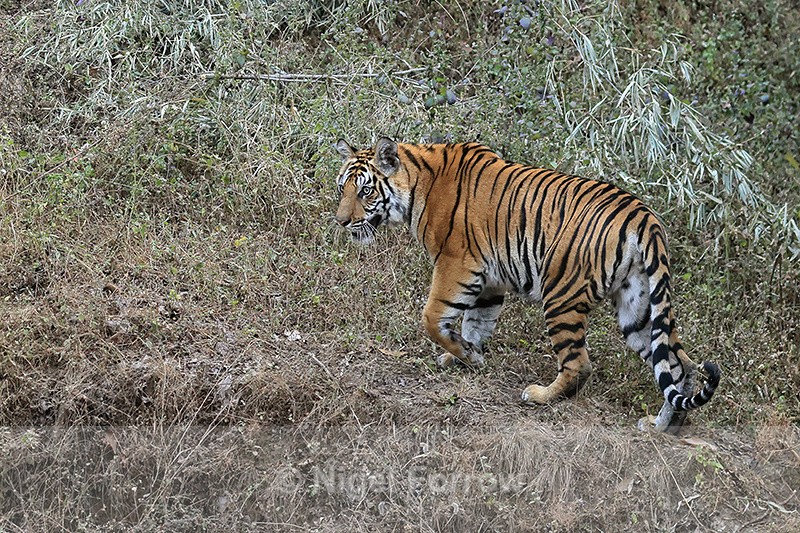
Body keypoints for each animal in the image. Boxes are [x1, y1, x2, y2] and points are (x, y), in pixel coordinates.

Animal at [333, 137, 721, 432]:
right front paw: (467, 356)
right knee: (678, 364)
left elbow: (432, 318)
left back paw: (539, 396)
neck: (417, 185)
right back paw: (663, 425)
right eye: (342, 188)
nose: (341, 221)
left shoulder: (455, 265)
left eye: (365, 191)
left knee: (579, 364)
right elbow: (475, 324)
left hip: (562, 295)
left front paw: (466, 356)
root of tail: (643, 216)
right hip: (637, 307)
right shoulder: (489, 281)